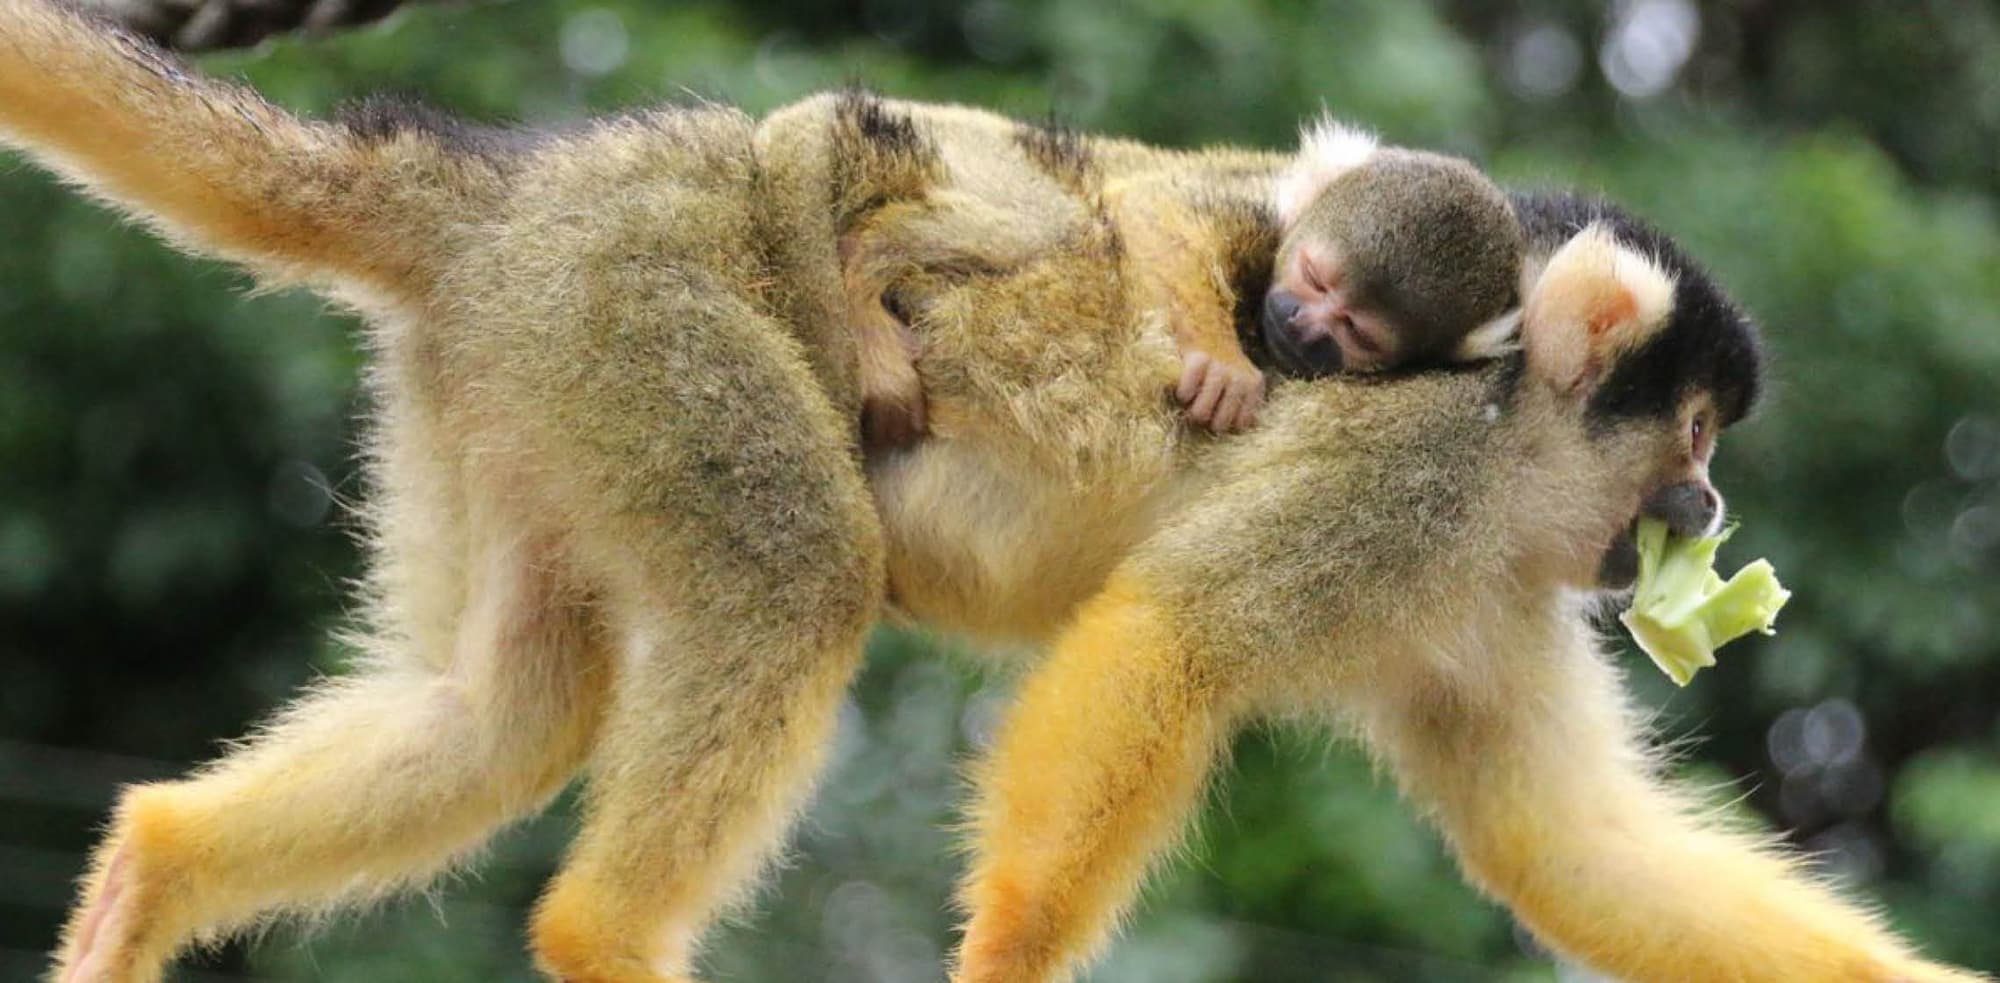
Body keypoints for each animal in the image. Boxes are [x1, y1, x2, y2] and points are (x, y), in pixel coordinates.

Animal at [0, 5, 1980, 982]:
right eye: (1692, 439)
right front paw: (1010, 959)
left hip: (519, 365)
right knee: (793, 571)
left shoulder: (1485, 582)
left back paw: (164, 862)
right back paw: (604, 934)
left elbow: (1565, 844)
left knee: (508, 700)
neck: (1505, 455)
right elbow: (1165, 642)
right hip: (651, 299)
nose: (1705, 526)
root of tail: (514, 181)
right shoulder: (1412, 476)